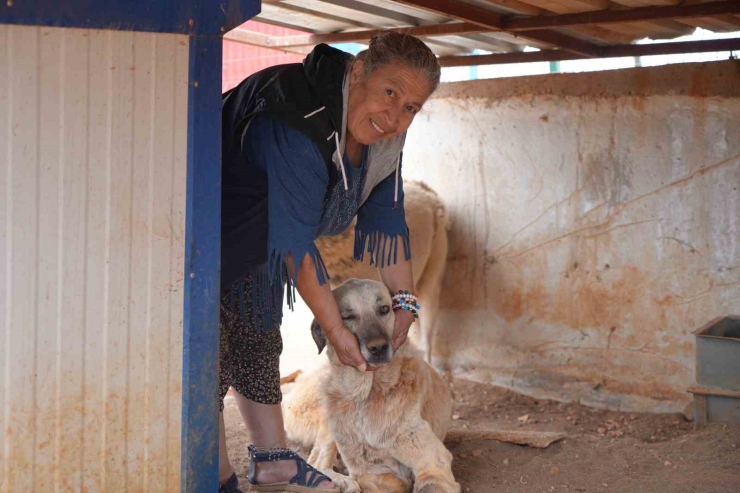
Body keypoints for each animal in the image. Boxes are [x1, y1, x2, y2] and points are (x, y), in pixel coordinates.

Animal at [282, 278, 460, 492]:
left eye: (384, 309)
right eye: (348, 316)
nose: (378, 348)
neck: (368, 394)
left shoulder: (433, 464)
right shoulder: (372, 472)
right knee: (317, 462)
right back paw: (344, 482)